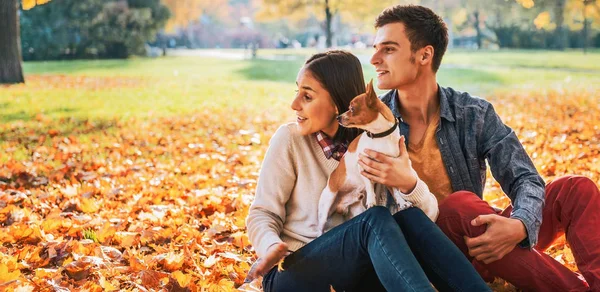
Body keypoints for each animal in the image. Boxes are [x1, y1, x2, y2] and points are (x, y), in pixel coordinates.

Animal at [314, 78, 412, 234]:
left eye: (352, 108)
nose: (338, 117)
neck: (380, 136)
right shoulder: (364, 167)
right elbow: (370, 187)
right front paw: (372, 202)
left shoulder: (390, 172)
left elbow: (396, 191)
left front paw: (402, 203)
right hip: (326, 204)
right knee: (320, 228)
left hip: (356, 208)